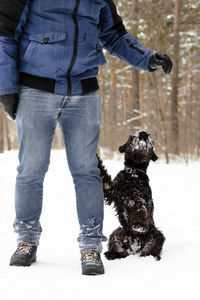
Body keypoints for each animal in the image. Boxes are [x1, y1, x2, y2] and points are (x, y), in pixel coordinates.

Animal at [97, 131, 166, 260]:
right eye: (131, 137)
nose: (143, 133)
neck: (134, 173)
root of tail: (134, 246)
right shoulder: (111, 190)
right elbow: (103, 175)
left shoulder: (144, 199)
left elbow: (141, 207)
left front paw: (139, 225)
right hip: (117, 233)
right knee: (120, 250)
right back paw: (111, 254)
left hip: (156, 234)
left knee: (151, 250)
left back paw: (151, 256)